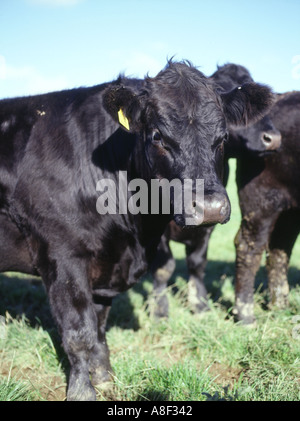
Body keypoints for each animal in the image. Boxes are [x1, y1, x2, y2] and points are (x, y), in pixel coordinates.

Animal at [150, 64, 282, 316]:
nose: (275, 138)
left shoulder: (209, 222)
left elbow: (197, 263)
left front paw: (200, 304)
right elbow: (164, 266)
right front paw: (160, 309)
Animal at [234, 90, 300, 324]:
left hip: (289, 211)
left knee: (279, 250)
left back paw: (280, 305)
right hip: (260, 202)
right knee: (248, 247)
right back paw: (245, 315)